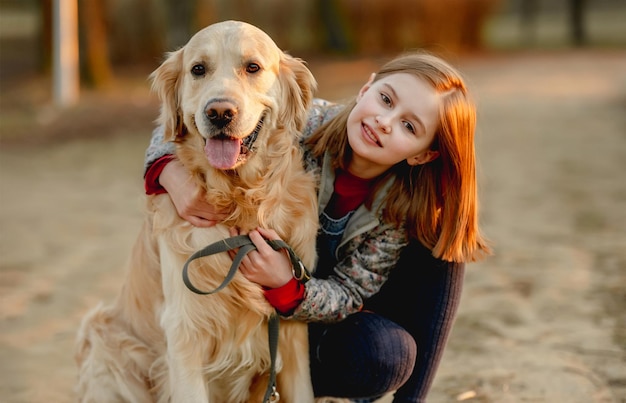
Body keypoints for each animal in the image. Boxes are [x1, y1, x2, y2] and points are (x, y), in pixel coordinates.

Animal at [74, 20, 316, 402]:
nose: (219, 113)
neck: (238, 204)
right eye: (198, 69)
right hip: (104, 341)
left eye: (253, 67)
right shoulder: (184, 332)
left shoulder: (292, 334)